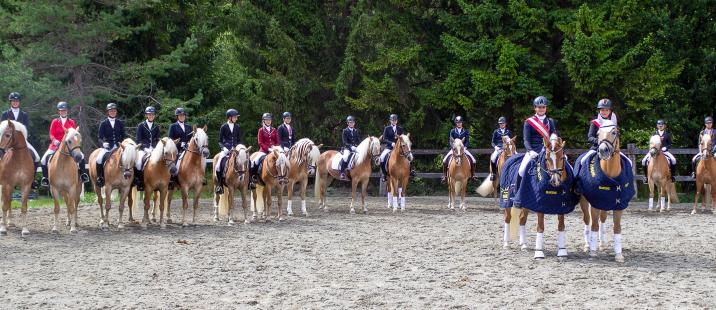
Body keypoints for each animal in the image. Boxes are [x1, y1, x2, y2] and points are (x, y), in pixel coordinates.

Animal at [572, 122, 636, 262]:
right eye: (597, 134)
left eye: (614, 132)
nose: (603, 150)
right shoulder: (595, 203)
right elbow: (594, 226)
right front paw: (593, 252)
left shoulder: (618, 204)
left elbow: (617, 228)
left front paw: (619, 254)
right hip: (584, 202)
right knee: (587, 220)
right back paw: (588, 245)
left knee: (603, 219)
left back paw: (602, 244)